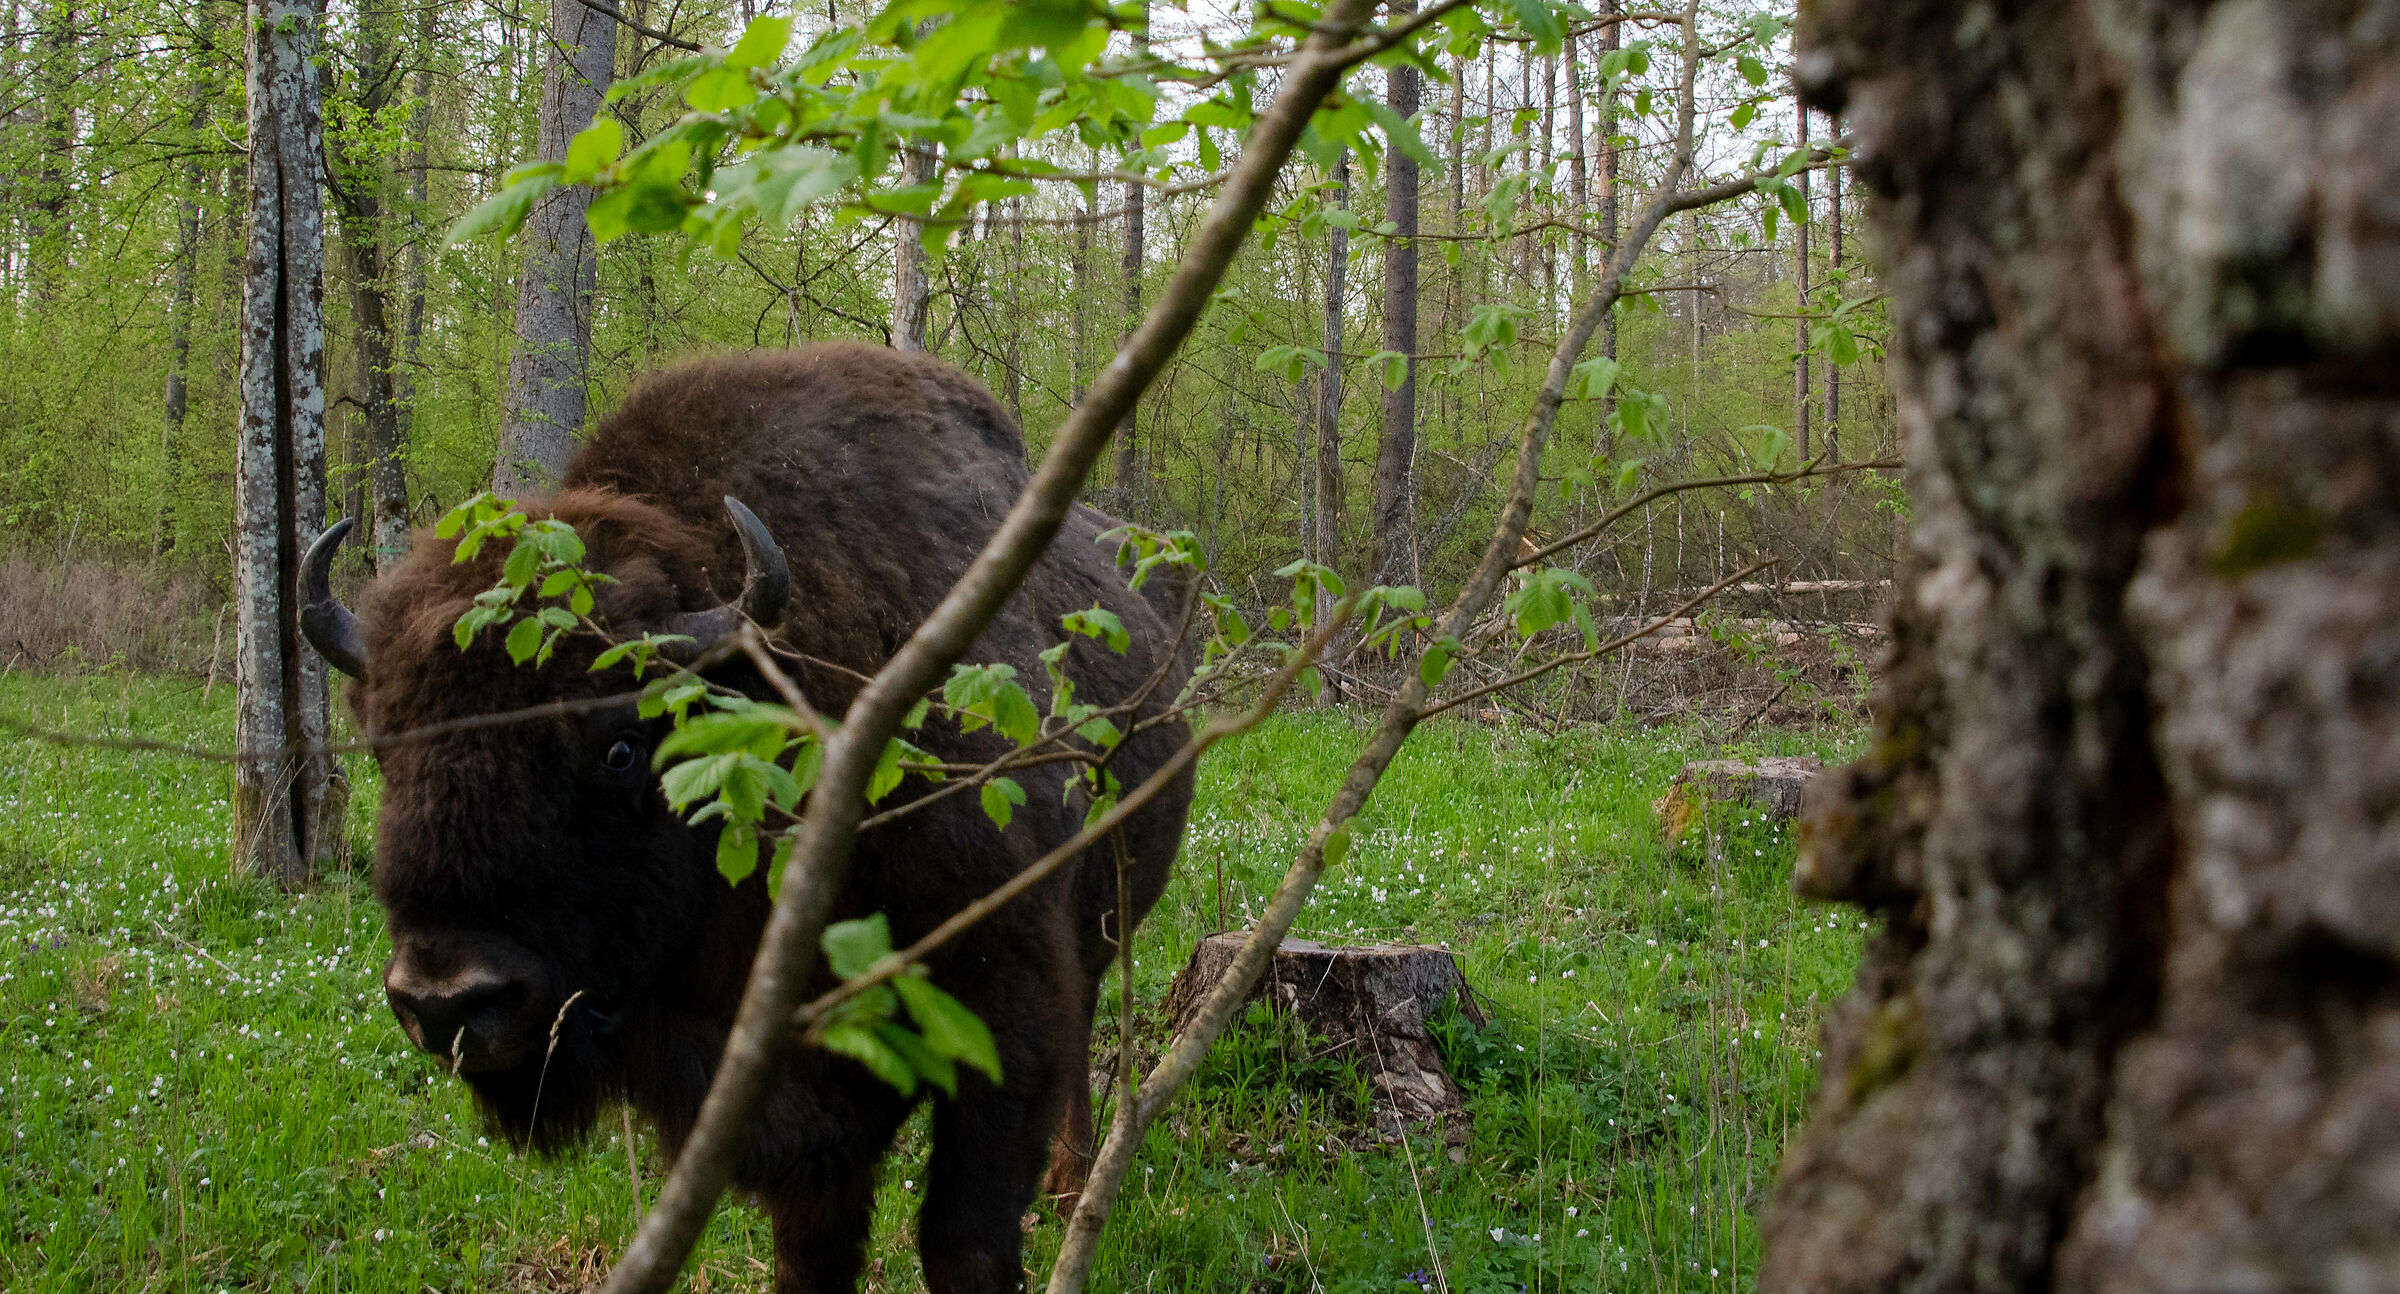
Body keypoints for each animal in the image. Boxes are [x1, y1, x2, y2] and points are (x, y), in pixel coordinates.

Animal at [302, 343, 1193, 1292]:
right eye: (384, 748)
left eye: (622, 747)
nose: (445, 999)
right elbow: (813, 1246)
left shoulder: (1003, 1007)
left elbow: (966, 1239)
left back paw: (1073, 1188)